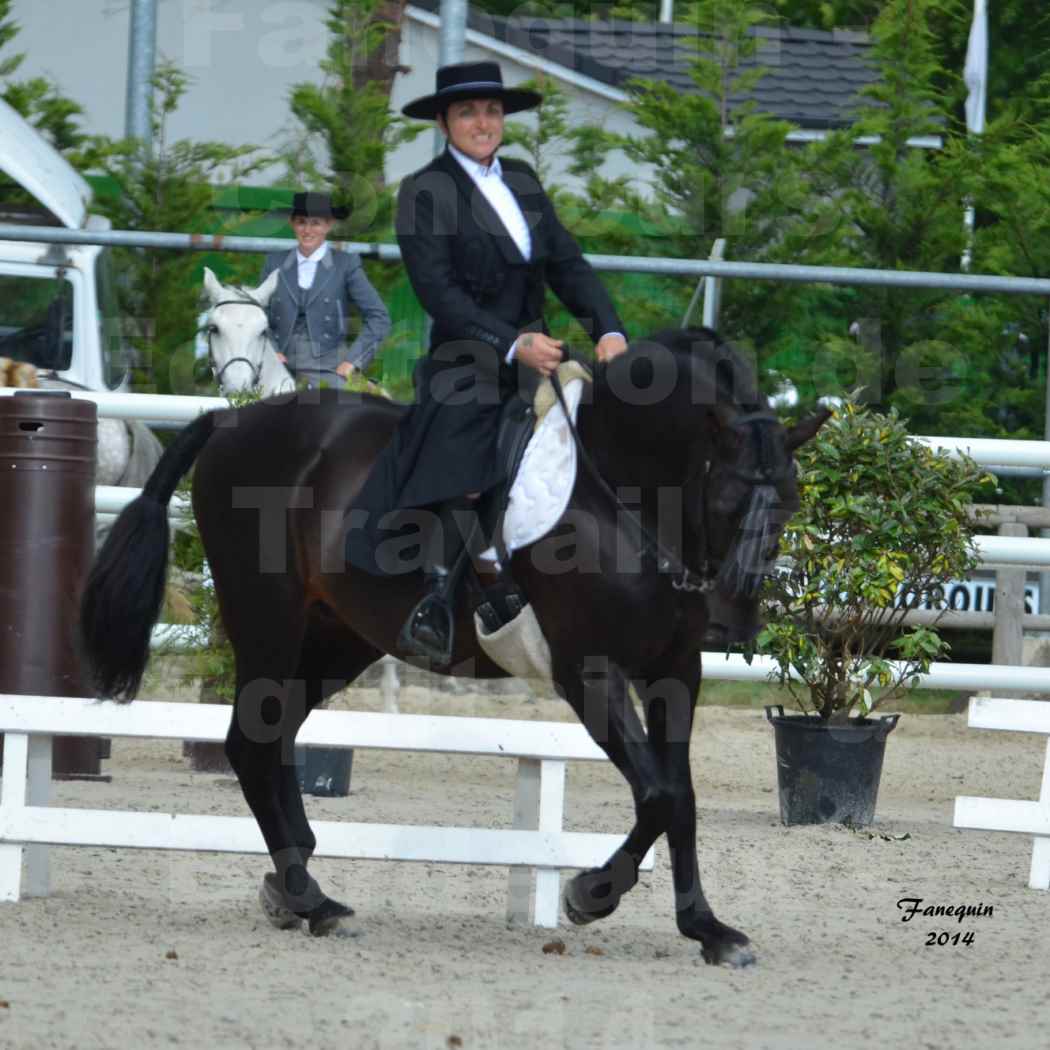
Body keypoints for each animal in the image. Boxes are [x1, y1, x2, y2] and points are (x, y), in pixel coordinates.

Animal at [77, 329, 823, 965]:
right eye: (726, 498)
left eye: (788, 503)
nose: (731, 625)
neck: (620, 493)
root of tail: (232, 422)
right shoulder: (587, 671)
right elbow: (660, 793)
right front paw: (590, 895)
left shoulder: (676, 670)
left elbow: (679, 795)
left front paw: (708, 929)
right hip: (268, 619)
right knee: (252, 741)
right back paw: (311, 900)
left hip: (337, 637)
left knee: (271, 736)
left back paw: (296, 889)